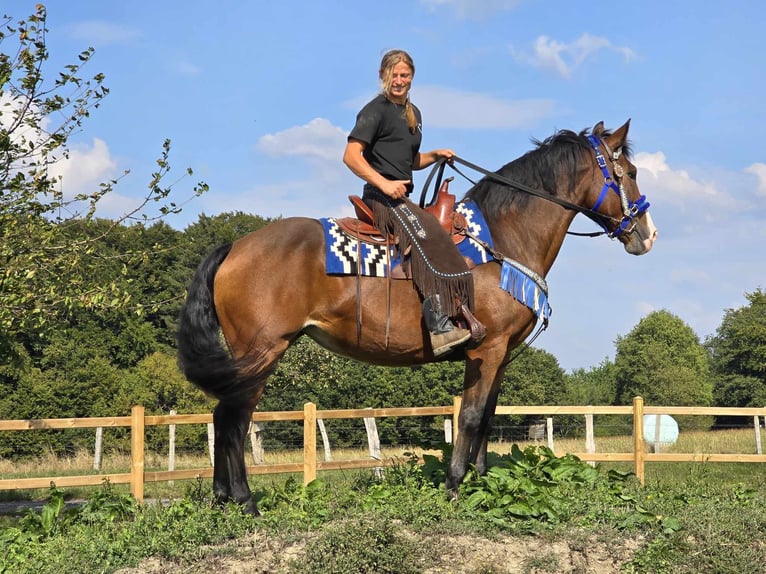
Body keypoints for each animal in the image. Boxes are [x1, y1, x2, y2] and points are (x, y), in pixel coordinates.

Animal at [178, 119, 660, 516]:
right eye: (630, 172)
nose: (648, 234)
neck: (504, 237)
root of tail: (235, 246)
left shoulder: (501, 354)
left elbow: (488, 417)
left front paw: (481, 485)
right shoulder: (486, 348)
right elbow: (470, 417)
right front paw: (454, 486)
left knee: (224, 416)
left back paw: (223, 500)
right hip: (262, 350)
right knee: (235, 418)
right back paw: (245, 501)